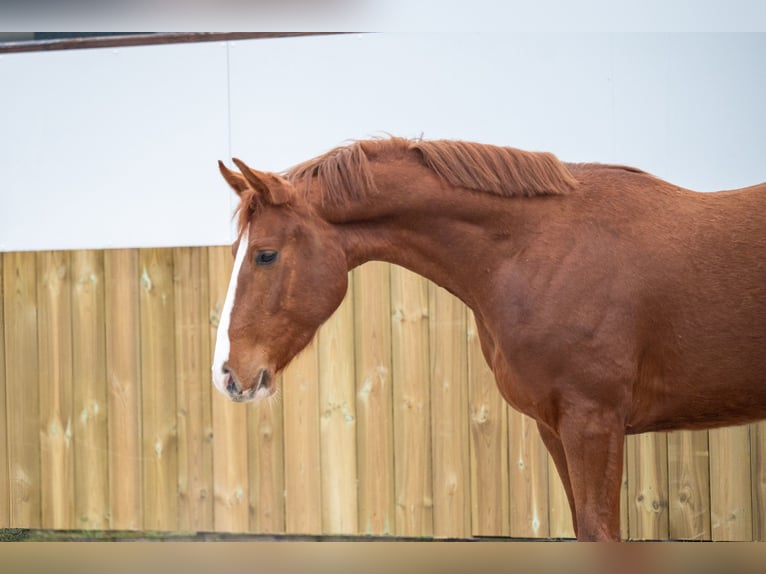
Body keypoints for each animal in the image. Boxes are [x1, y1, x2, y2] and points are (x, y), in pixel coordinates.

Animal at [210, 137, 766, 544]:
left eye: (264, 254)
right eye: (235, 252)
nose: (227, 373)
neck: (540, 251)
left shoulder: (594, 424)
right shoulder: (556, 429)